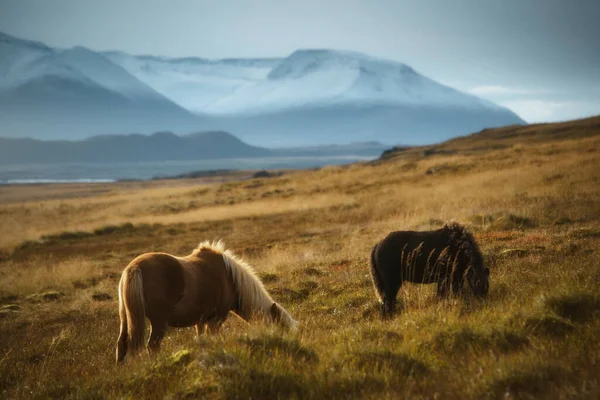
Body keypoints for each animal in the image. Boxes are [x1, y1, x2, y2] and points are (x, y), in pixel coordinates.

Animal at [115, 239, 298, 364]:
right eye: (280, 328)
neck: (229, 278)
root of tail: (134, 268)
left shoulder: (201, 320)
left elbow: (202, 339)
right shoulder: (217, 318)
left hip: (126, 318)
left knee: (122, 345)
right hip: (159, 322)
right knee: (152, 346)